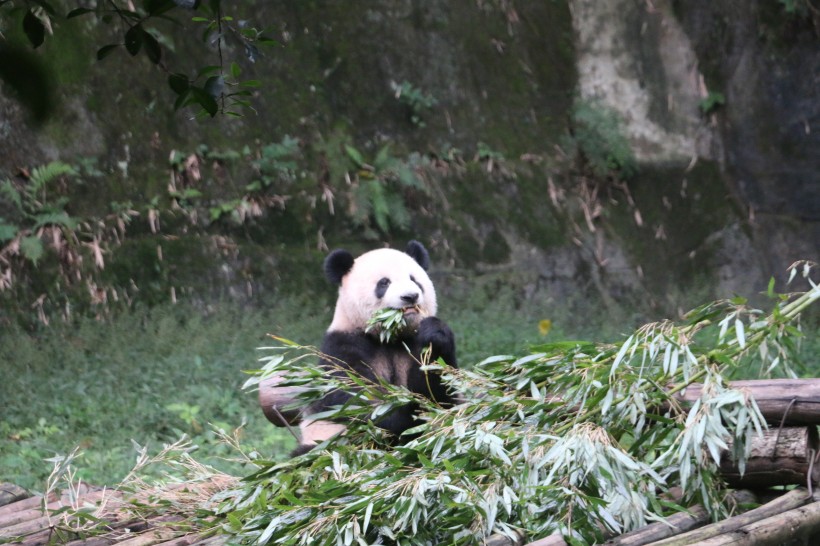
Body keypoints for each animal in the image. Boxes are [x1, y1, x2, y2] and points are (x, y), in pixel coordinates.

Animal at [294, 240, 458, 452]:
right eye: (384, 283)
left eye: (414, 280)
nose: (410, 296)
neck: (389, 337)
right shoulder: (343, 347)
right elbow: (359, 403)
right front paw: (407, 412)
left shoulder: (412, 342)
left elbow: (442, 392)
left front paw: (434, 334)